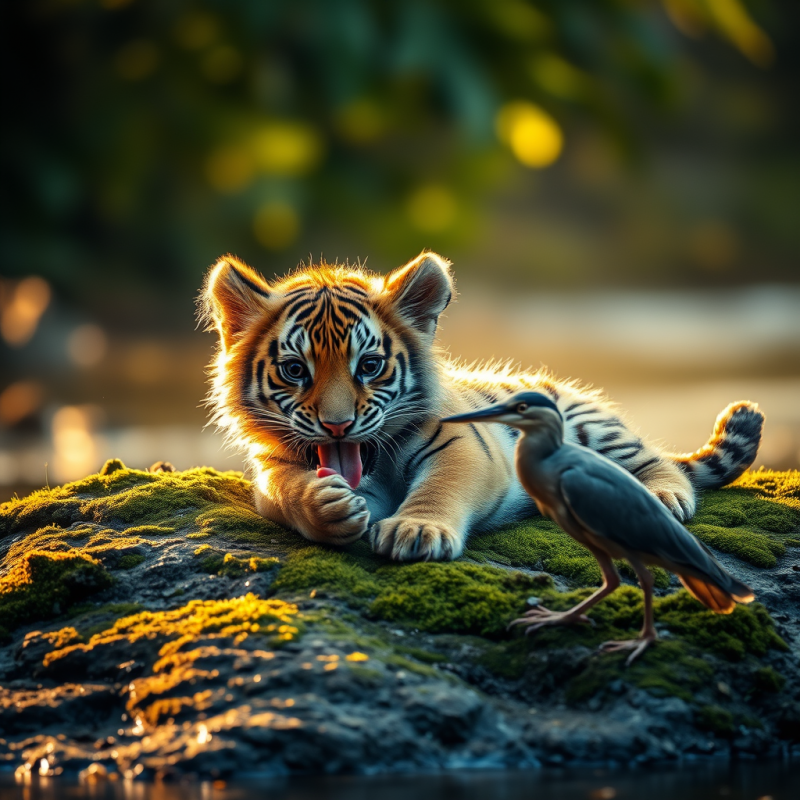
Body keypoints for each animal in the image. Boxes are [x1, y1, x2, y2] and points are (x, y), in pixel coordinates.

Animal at [200, 251, 764, 562]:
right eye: (296, 370)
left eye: (370, 365)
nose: (338, 427)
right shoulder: (270, 470)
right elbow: (286, 490)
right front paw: (327, 507)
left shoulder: (463, 444)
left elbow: (442, 485)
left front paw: (416, 530)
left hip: (593, 428)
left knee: (659, 464)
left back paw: (660, 497)